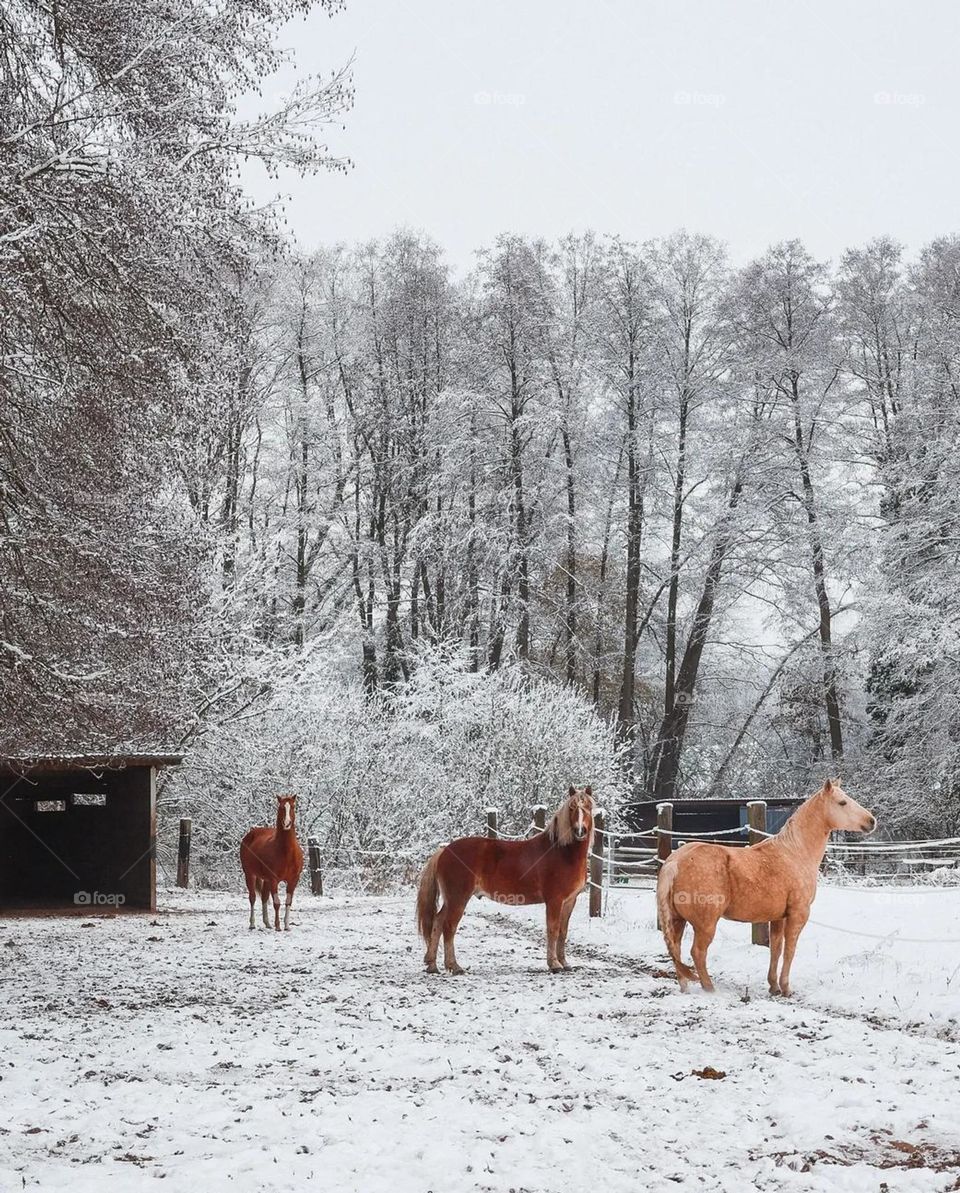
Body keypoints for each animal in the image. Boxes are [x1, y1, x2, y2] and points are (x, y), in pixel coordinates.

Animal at [237, 796, 301, 935]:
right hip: (249, 874)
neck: (286, 852)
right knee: (253, 897)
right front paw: (278, 926)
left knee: (264, 897)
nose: (287, 823)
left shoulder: (293, 880)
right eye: (281, 807)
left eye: (293, 806)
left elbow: (288, 902)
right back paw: (252, 924)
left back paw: (267, 923)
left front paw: (286, 926)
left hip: (265, 879)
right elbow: (277, 903)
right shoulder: (273, 880)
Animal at [415, 787, 591, 973]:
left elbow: (563, 932)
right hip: (458, 899)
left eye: (588, 807)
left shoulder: (570, 900)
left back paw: (432, 965)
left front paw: (564, 963)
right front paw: (554, 964)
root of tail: (445, 850)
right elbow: (553, 929)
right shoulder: (555, 901)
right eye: (572, 808)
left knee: (437, 922)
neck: (562, 853)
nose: (580, 831)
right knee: (449, 927)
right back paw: (454, 966)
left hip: (450, 900)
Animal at [653, 782, 872, 997]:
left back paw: (685, 987)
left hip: (677, 919)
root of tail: (675, 862)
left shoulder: (778, 918)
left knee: (676, 949)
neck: (795, 853)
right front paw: (786, 988)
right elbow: (790, 950)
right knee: (697, 952)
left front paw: (773, 986)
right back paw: (710, 989)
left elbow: (776, 948)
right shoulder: (797, 914)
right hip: (705, 924)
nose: (872, 821)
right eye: (842, 802)